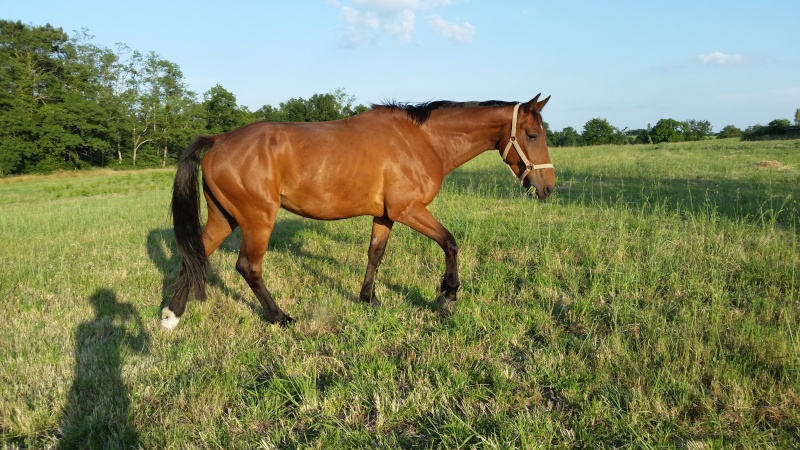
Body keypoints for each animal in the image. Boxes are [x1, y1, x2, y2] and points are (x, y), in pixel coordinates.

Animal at [159, 93, 552, 328]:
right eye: (532, 135)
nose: (548, 187)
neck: (421, 140)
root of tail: (219, 140)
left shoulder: (386, 215)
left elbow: (375, 254)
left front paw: (369, 299)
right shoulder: (409, 209)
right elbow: (450, 243)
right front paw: (447, 296)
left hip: (223, 218)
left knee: (193, 255)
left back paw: (171, 316)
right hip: (258, 220)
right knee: (248, 267)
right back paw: (279, 316)